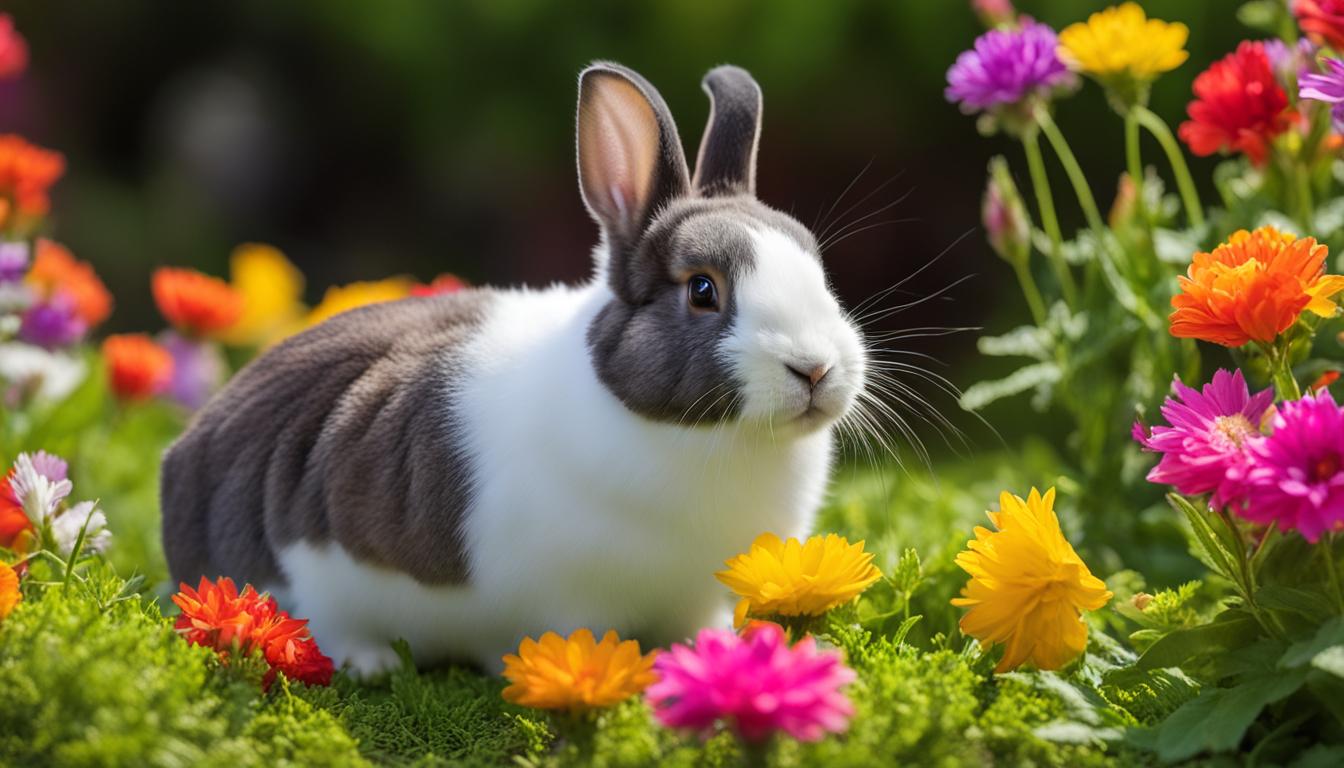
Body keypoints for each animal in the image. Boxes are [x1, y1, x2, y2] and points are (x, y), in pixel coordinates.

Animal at [160, 62, 869, 679]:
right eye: (702, 290)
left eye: (816, 266)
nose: (815, 368)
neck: (711, 438)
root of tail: (183, 465)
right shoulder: (572, 599)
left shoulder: (695, 597)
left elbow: (699, 627)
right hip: (309, 578)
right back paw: (372, 662)